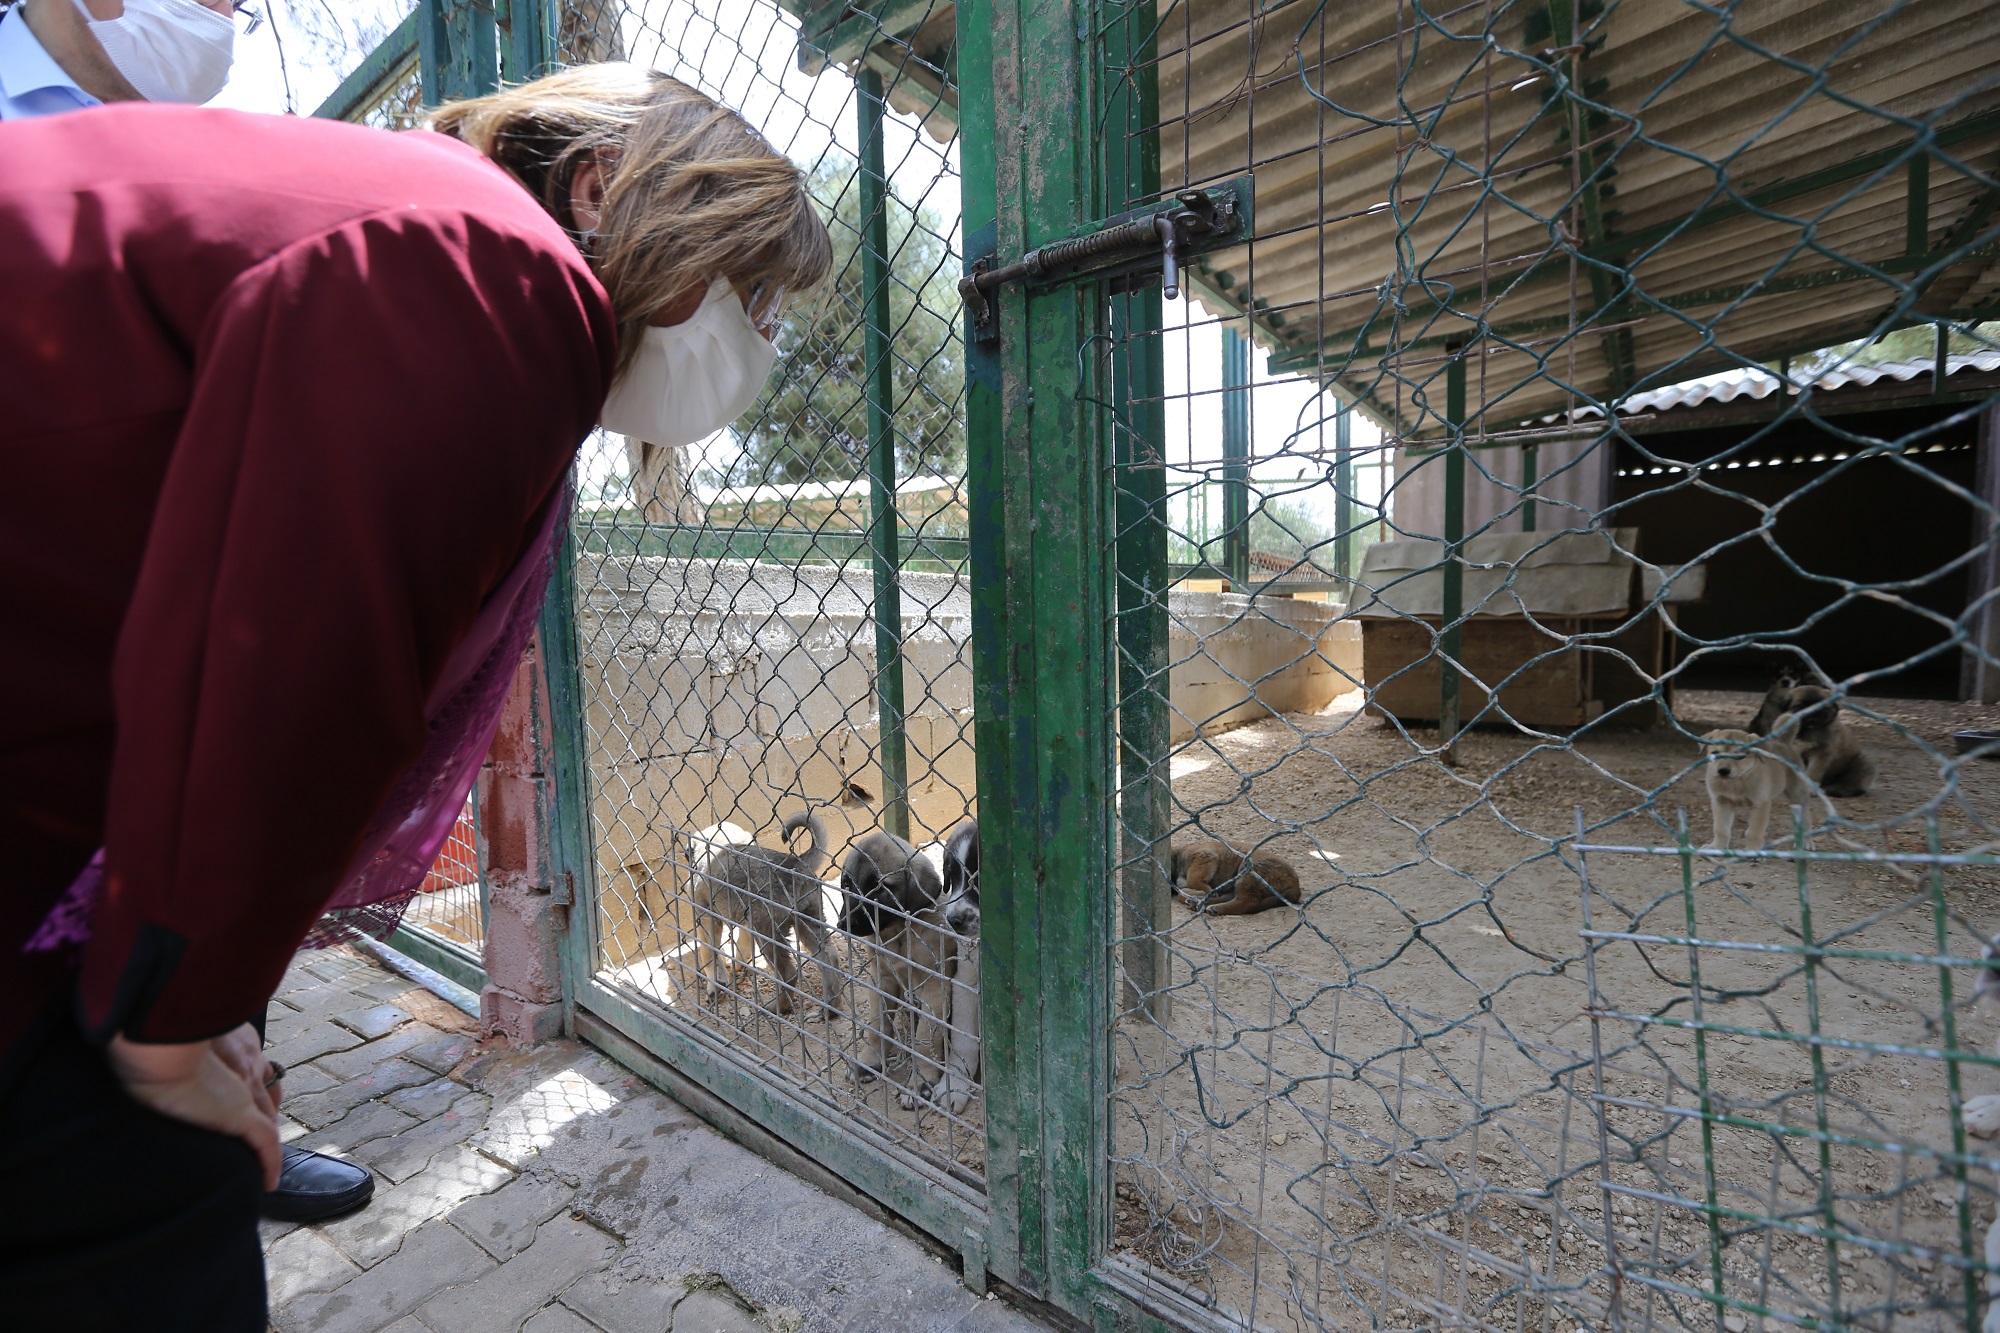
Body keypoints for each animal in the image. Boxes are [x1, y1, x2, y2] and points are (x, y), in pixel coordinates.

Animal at [696, 808, 844, 1016]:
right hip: (809, 921)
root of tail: (795, 866)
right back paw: (831, 1007)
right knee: (829, 959)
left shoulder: (706, 917)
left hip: (767, 931)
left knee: (788, 973)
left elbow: (709, 955)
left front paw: (715, 986)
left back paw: (778, 1007)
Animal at [832, 824, 948, 1096]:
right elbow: (878, 1025)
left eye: (880, 888)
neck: (898, 934)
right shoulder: (881, 977)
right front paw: (869, 1061)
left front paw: (921, 1080)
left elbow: (925, 1039)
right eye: (846, 883)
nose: (844, 924)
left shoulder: (933, 987)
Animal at [1168, 840, 1304, 912]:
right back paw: (1198, 902)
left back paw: (1212, 907)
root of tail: (1296, 884)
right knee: (1234, 898)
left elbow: (1193, 880)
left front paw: (1205, 891)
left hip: (1248, 872)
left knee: (1247, 902)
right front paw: (1199, 894)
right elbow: (1182, 892)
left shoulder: (1204, 856)